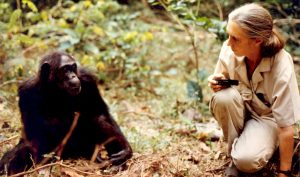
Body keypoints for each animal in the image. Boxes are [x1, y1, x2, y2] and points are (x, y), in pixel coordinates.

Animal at [0, 50, 132, 174]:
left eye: (73, 67)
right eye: (65, 69)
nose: (73, 76)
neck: (56, 89)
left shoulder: (88, 80)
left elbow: (100, 111)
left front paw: (126, 150)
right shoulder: (26, 91)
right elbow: (31, 133)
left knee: (99, 119)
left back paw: (118, 163)